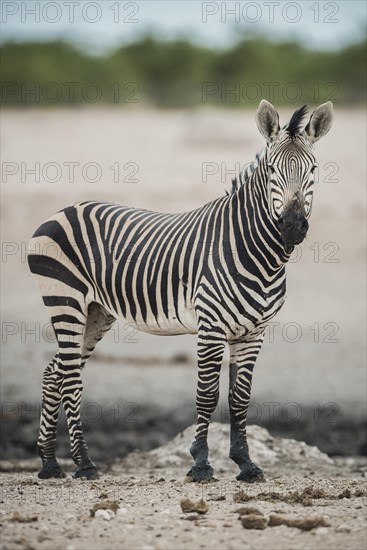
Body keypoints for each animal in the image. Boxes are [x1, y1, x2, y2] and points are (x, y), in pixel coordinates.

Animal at [28, 101, 334, 486]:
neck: (256, 252)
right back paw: (84, 464)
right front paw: (201, 464)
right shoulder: (211, 327)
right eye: (271, 170)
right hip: (65, 301)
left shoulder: (253, 333)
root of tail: (61, 210)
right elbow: (207, 395)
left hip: (96, 312)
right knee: (69, 378)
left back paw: (49, 463)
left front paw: (246, 464)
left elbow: (240, 398)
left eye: (313, 169)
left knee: (53, 372)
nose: (292, 227)